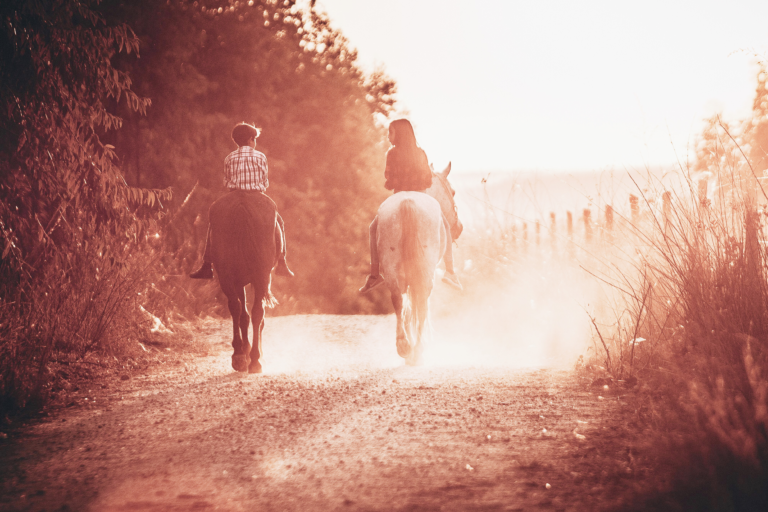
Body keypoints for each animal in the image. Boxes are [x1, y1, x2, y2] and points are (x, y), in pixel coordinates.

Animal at [210, 190, 280, 374]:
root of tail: (242, 205)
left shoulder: (239, 282)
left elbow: (243, 315)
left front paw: (245, 352)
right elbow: (254, 316)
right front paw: (254, 354)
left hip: (227, 277)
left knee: (236, 309)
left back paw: (239, 356)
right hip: (261, 277)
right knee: (256, 314)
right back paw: (254, 360)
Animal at [378, 163, 462, 364]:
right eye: (453, 192)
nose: (459, 227)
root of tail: (407, 202)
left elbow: (408, 306)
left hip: (392, 271)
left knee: (398, 301)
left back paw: (403, 346)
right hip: (424, 272)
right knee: (422, 303)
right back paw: (417, 350)